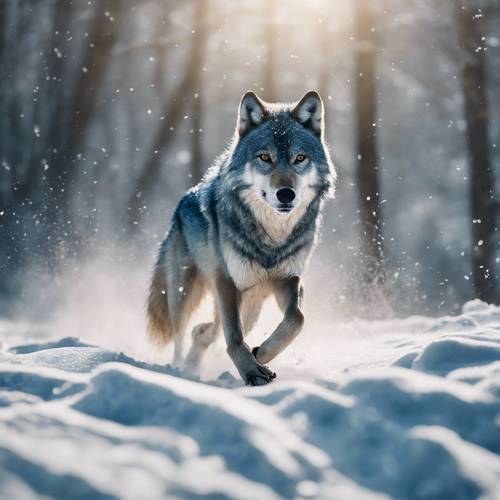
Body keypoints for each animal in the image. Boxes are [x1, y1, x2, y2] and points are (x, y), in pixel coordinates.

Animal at [148, 91, 336, 386]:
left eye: (299, 158)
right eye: (264, 157)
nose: (286, 194)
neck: (272, 239)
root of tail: (181, 204)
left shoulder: (289, 279)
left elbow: (297, 318)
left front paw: (264, 353)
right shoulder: (225, 280)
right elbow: (234, 336)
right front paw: (251, 371)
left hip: (251, 305)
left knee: (203, 332)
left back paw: (194, 366)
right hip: (185, 294)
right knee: (185, 336)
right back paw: (179, 371)